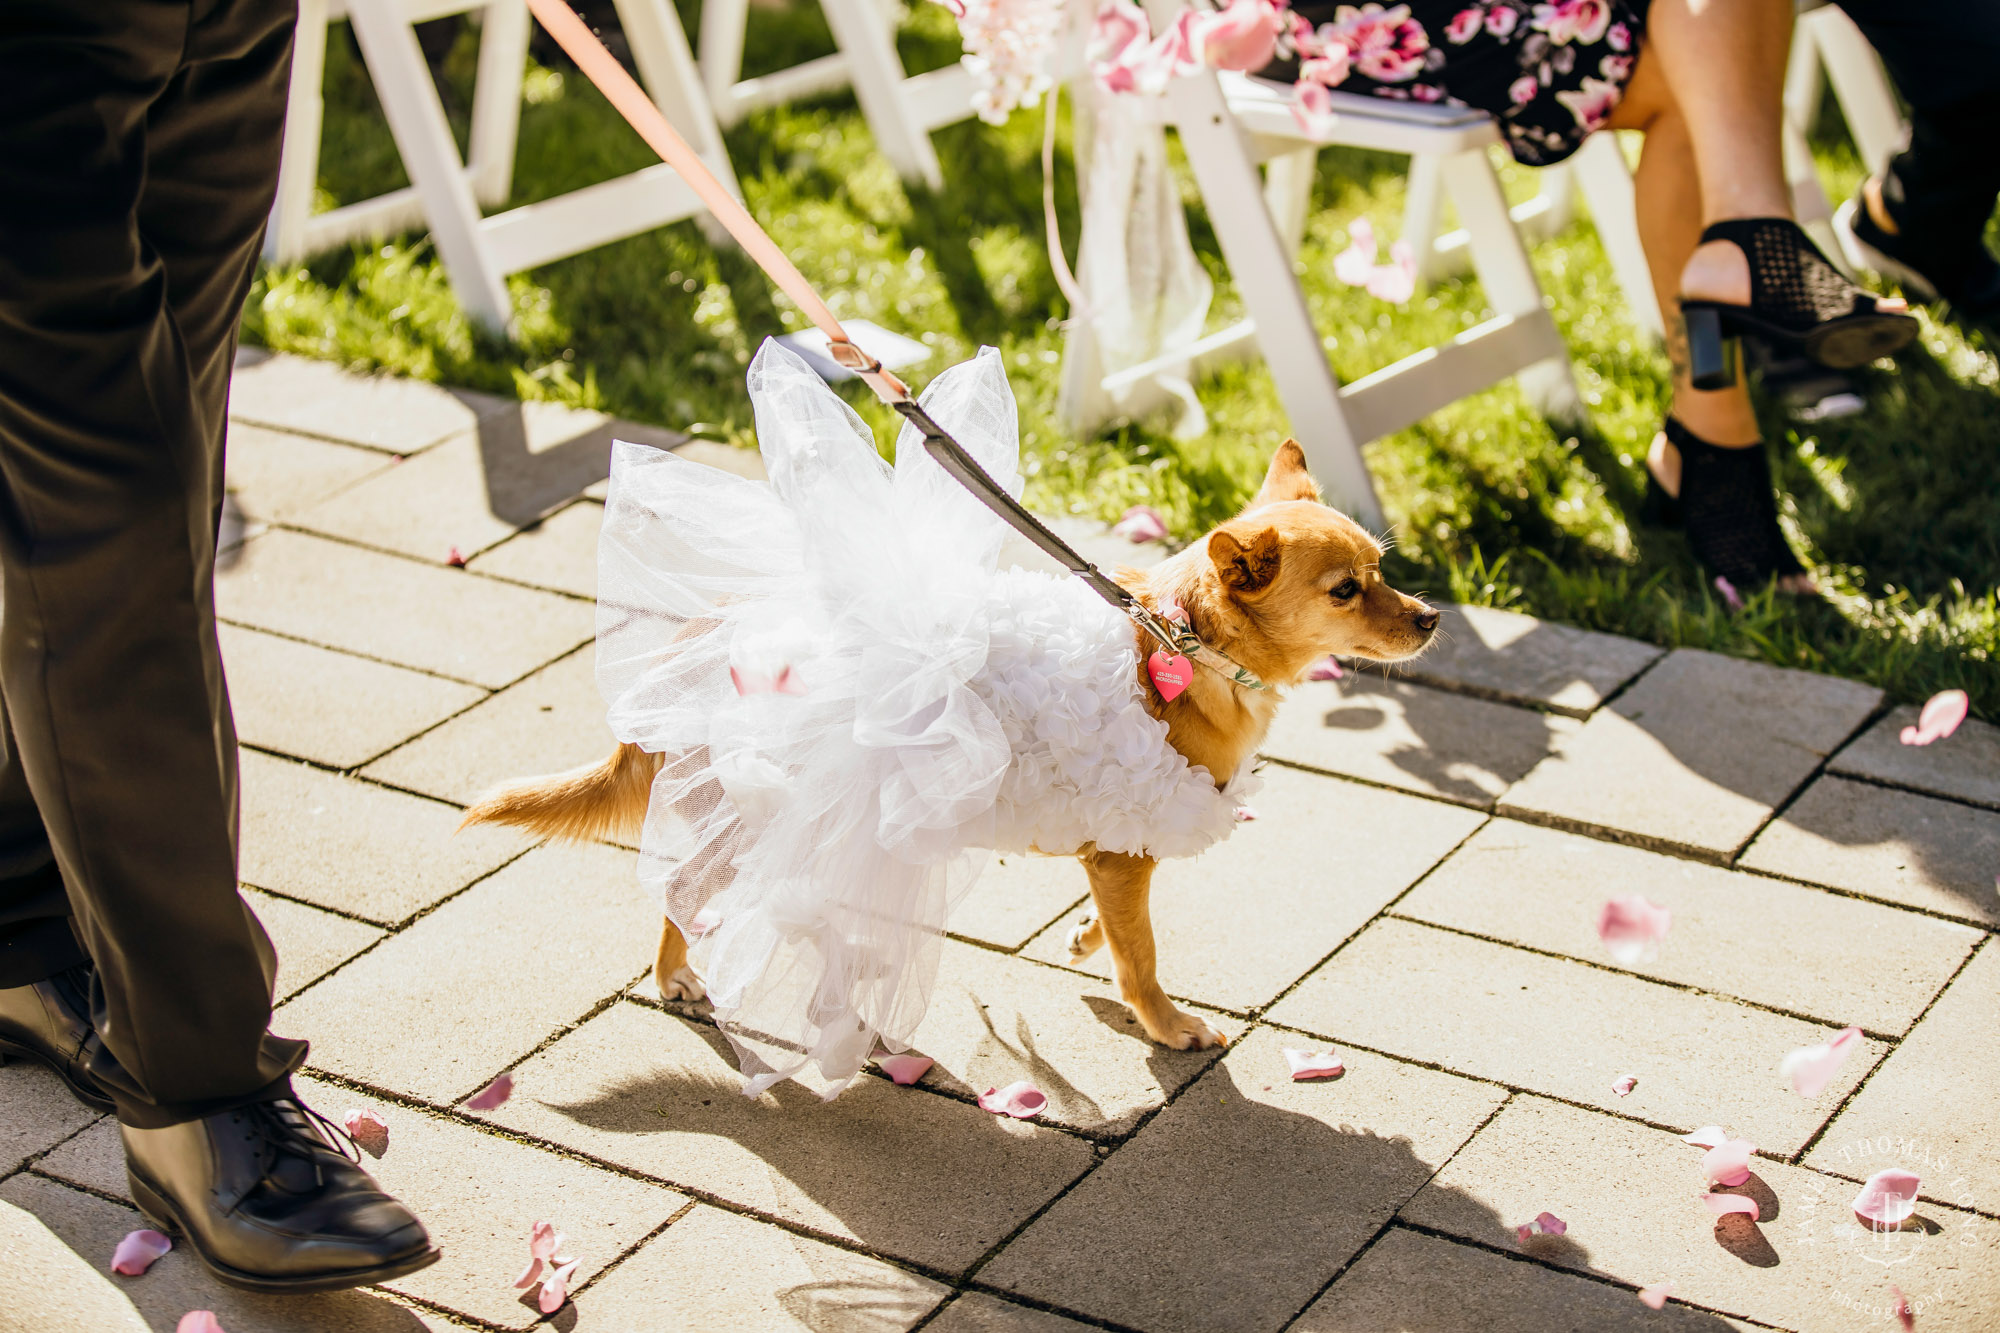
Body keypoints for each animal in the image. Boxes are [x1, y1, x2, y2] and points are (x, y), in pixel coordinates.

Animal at [464, 444, 1440, 1048]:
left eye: (1386, 570)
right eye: (1347, 590)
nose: (1431, 617)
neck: (1183, 641)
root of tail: (706, 629)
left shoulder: (1121, 843)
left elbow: (1119, 925)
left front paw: (1086, 938)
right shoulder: (1126, 844)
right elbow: (1144, 956)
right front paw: (1166, 1024)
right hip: (747, 809)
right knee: (679, 888)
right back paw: (679, 976)